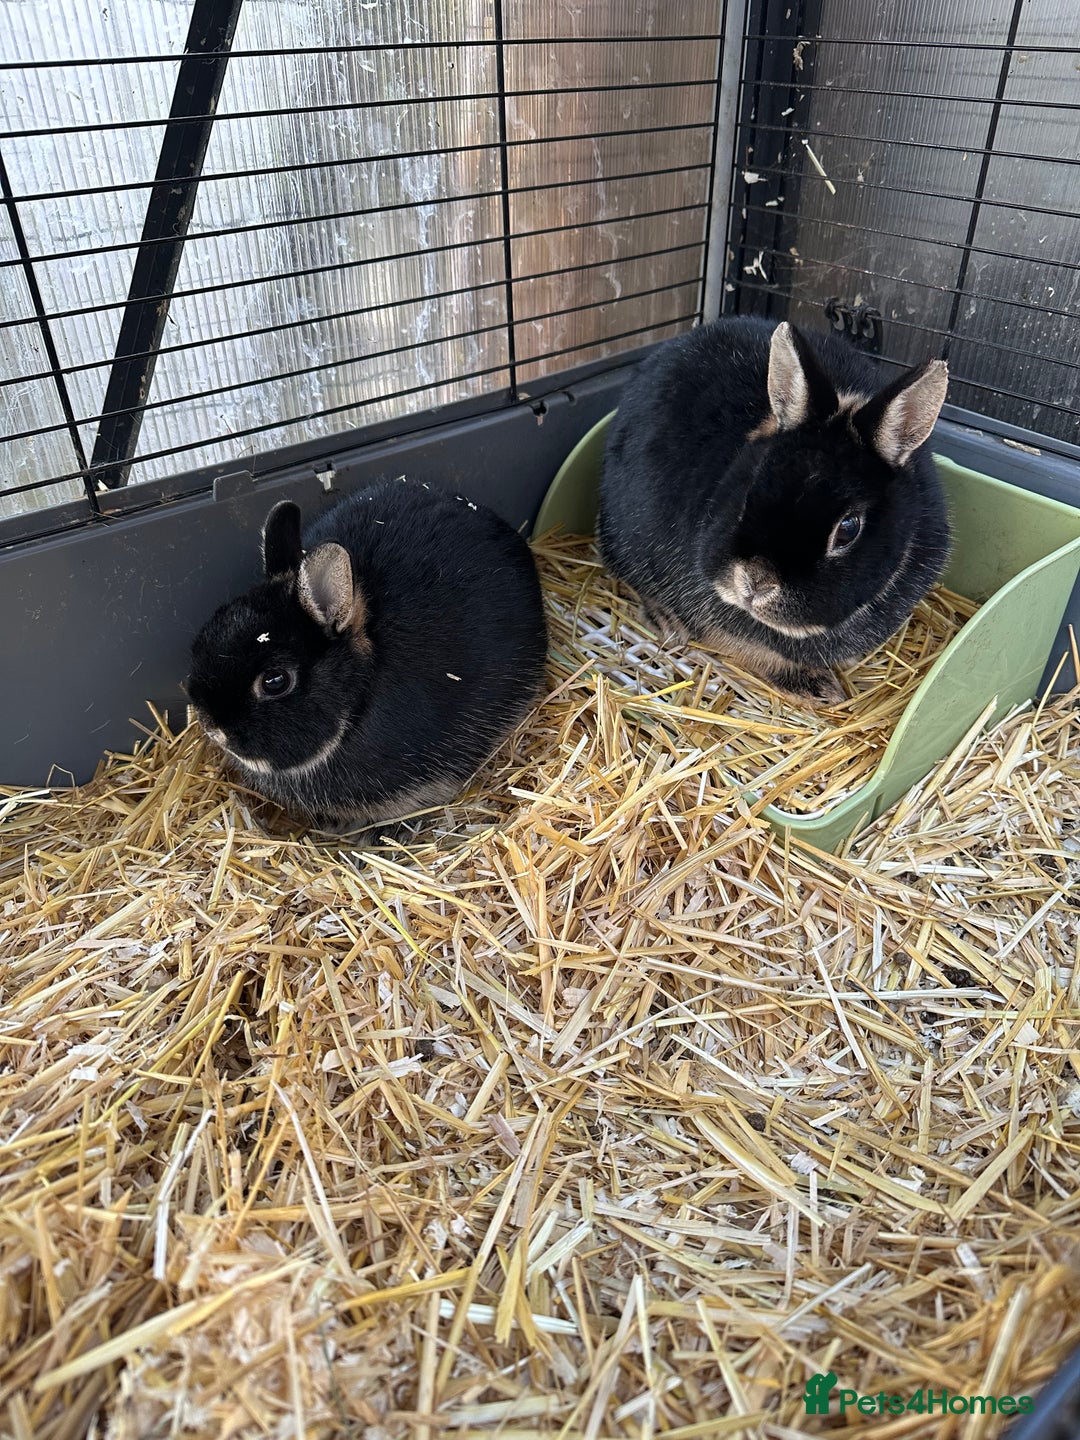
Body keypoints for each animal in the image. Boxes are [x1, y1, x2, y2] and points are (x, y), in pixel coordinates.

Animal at [596, 314, 951, 703]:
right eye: (751, 489)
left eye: (848, 529)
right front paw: (820, 689)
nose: (755, 582)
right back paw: (669, 623)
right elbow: (755, 650)